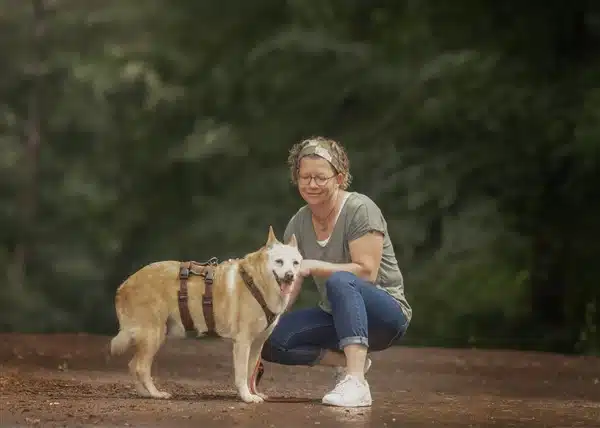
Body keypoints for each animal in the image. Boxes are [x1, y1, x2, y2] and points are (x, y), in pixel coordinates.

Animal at [108, 226, 302, 402]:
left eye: (295, 263)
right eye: (279, 261)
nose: (290, 276)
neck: (257, 282)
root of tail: (123, 285)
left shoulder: (257, 343)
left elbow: (249, 372)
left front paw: (252, 394)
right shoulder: (243, 342)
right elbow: (241, 374)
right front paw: (247, 397)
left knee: (133, 365)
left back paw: (144, 393)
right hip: (153, 335)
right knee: (140, 367)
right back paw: (155, 393)